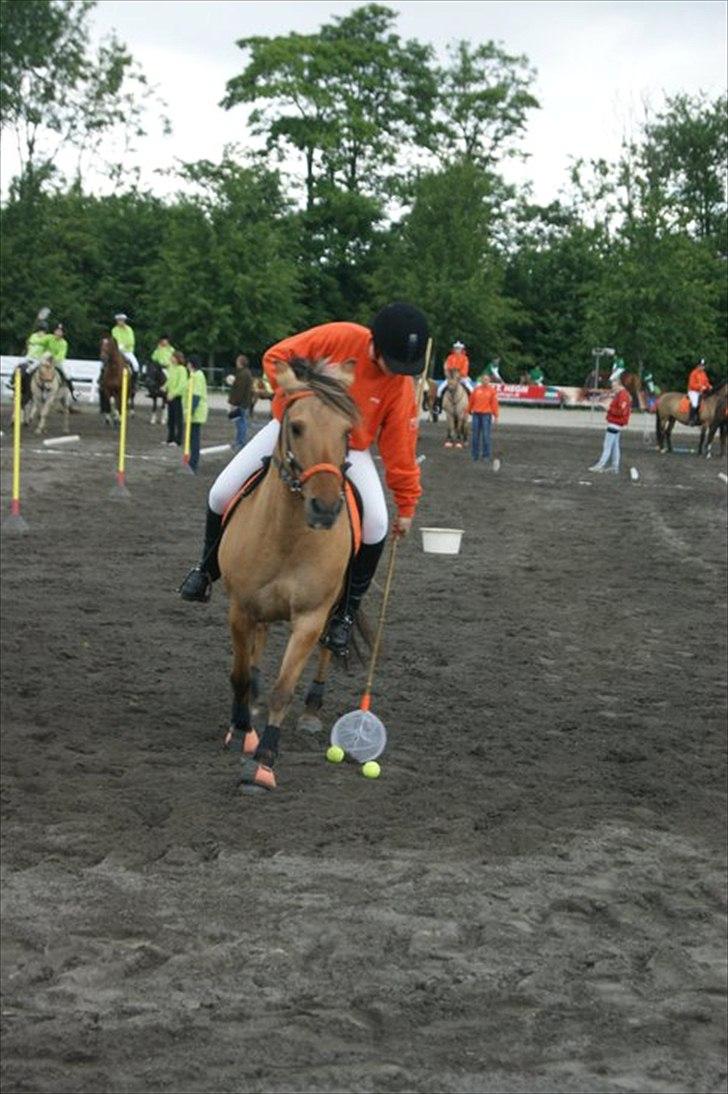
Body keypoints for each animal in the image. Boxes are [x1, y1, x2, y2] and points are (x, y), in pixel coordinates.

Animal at [218, 358, 361, 796]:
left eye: (347, 431)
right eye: (296, 427)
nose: (325, 508)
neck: (287, 537)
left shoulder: (311, 619)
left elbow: (284, 689)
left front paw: (264, 762)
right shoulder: (241, 610)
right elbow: (239, 674)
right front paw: (241, 727)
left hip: (332, 612)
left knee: (328, 650)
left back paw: (313, 709)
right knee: (255, 653)